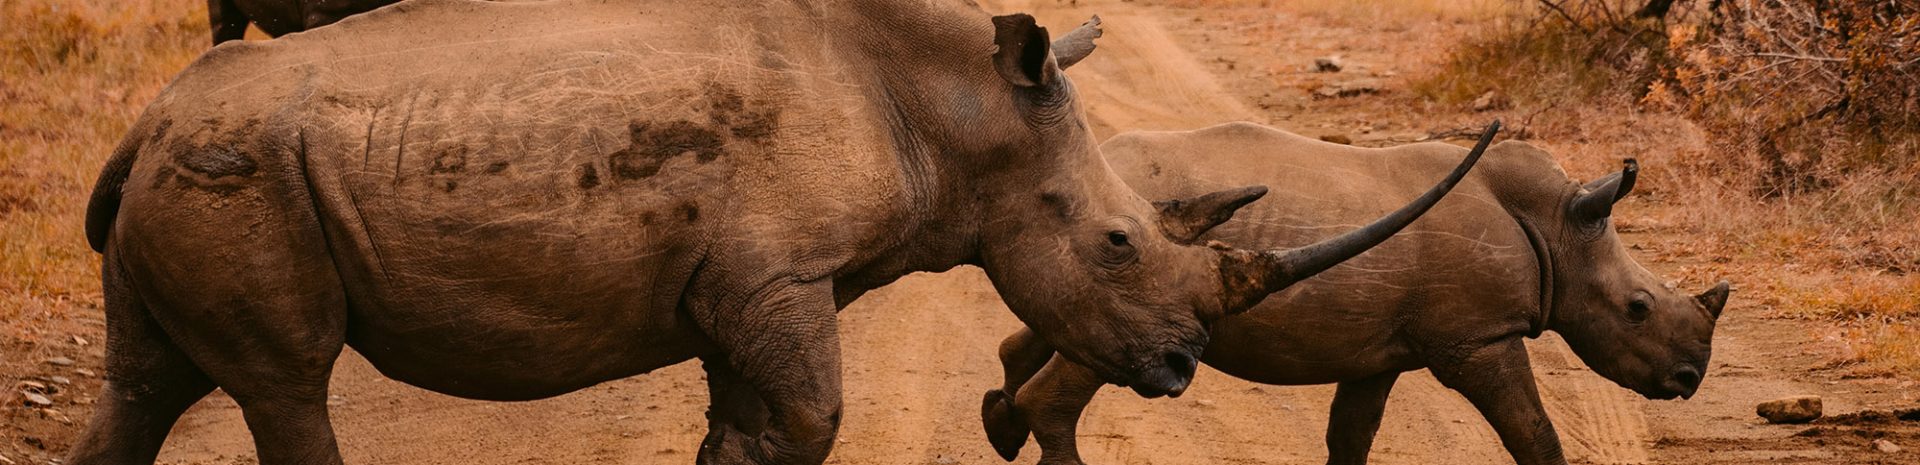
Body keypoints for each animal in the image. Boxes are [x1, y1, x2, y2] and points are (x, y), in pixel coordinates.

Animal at [73, 2, 1488, 464]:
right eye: (1120, 246)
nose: (1184, 370)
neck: (957, 111)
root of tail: (142, 124)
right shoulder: (775, 273)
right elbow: (809, 419)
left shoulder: (732, 282)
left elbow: (749, 420)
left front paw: (720, 455)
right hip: (238, 175)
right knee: (287, 384)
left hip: (198, 175)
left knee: (147, 386)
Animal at [981, 122, 1732, 465]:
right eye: (1637, 308)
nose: (1689, 380)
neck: (1558, 228)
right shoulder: (1477, 337)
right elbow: (1533, 431)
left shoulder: (1380, 349)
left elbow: (1351, 436)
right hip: (1128, 259)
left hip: (1099, 243)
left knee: (1050, 326)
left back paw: (1002, 426)